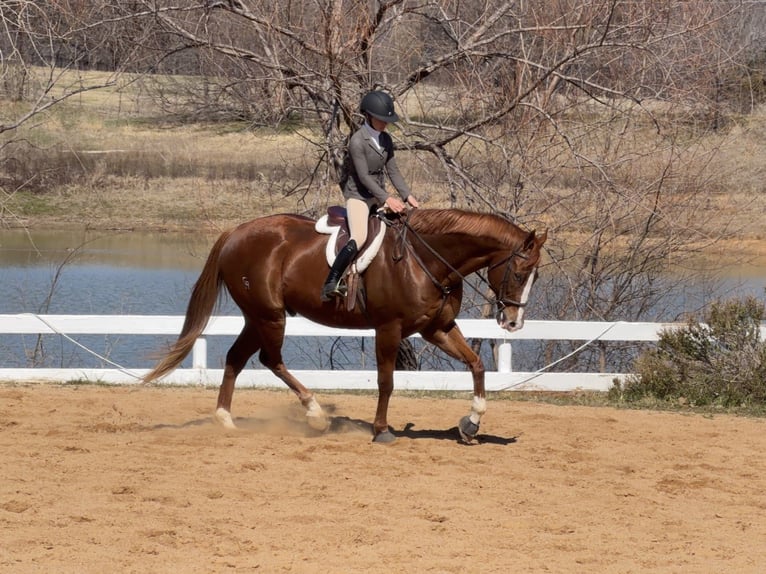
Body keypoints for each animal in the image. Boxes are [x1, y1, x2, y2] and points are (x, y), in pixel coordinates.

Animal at [142, 208, 547, 443]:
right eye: (520, 272)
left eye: (535, 277)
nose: (514, 322)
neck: (427, 259)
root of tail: (235, 232)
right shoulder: (389, 328)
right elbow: (386, 381)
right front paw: (381, 430)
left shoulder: (437, 328)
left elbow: (476, 365)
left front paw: (471, 424)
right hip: (269, 316)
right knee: (270, 360)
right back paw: (316, 415)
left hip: (257, 318)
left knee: (236, 358)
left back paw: (226, 419)